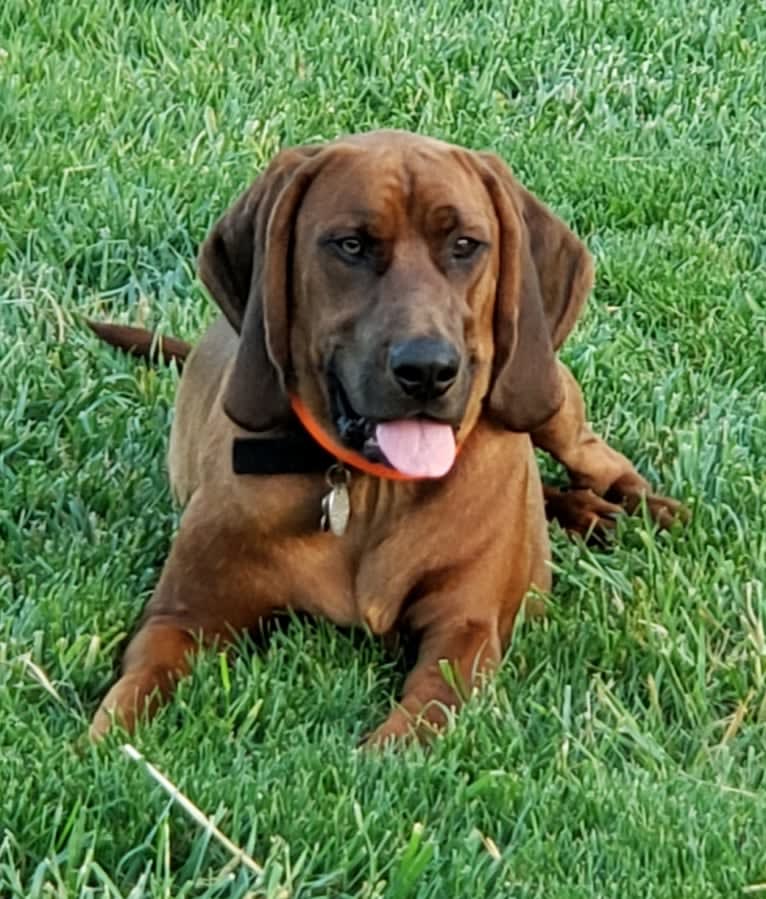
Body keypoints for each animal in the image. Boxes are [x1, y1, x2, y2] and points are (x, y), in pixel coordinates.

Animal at [88, 128, 684, 744]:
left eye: (465, 245)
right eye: (351, 245)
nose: (427, 370)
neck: (371, 488)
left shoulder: (463, 632)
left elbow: (417, 721)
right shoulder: (183, 616)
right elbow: (134, 688)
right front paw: (106, 746)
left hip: (545, 393)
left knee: (594, 459)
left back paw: (633, 510)